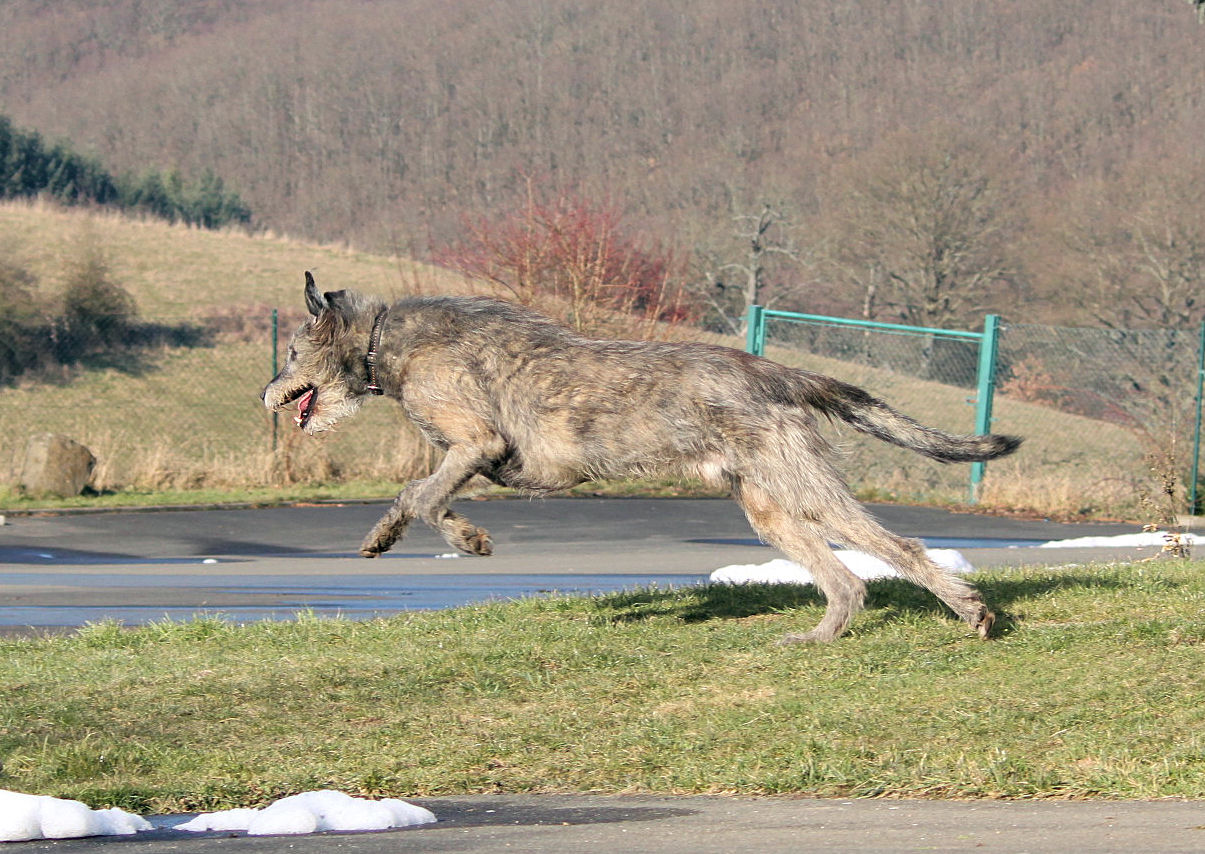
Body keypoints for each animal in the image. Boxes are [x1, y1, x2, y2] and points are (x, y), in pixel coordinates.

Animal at [261, 273, 1017, 640]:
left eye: (292, 353)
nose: (265, 395)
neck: (383, 342)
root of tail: (775, 371)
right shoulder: (469, 456)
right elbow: (427, 497)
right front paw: (429, 535)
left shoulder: (476, 443)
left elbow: (420, 495)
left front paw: (431, 537)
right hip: (768, 507)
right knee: (846, 578)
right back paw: (822, 635)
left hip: (800, 485)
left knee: (899, 548)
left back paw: (967, 612)